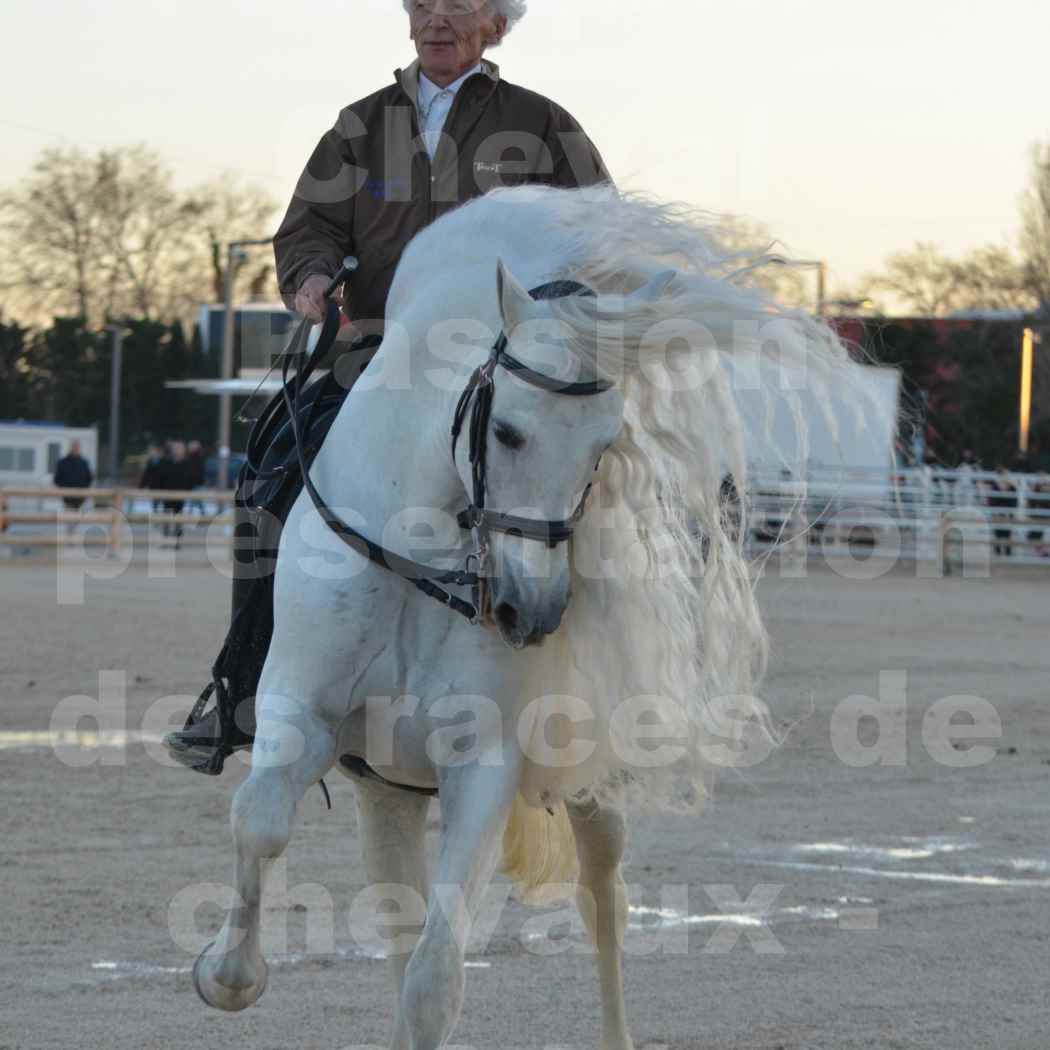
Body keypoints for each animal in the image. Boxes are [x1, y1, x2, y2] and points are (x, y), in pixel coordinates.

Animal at [191, 188, 844, 1050]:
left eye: (604, 447)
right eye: (506, 430)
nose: (530, 611)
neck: (420, 560)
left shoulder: (484, 765)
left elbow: (437, 976)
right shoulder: (300, 712)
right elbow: (261, 821)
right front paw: (227, 976)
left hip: (590, 788)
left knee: (603, 903)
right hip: (386, 792)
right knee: (400, 921)